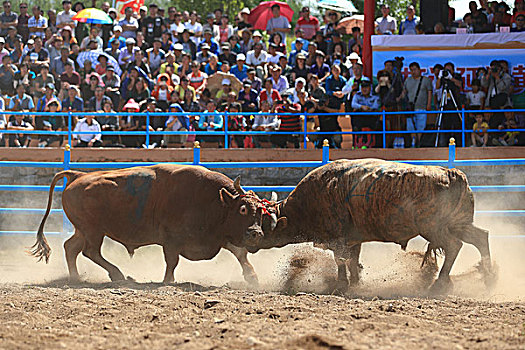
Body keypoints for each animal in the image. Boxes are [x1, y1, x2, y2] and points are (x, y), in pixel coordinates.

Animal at [32, 165, 270, 284]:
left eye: (260, 211)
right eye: (242, 209)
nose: (256, 233)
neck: (212, 199)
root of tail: (77, 176)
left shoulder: (220, 235)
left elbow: (239, 253)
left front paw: (253, 278)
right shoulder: (172, 240)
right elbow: (172, 261)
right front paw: (168, 281)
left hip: (83, 230)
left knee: (71, 248)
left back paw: (75, 277)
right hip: (93, 230)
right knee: (90, 251)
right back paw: (117, 275)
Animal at [252, 159, 494, 292]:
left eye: (261, 223)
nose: (250, 237)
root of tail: (451, 174)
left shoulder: (337, 238)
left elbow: (341, 260)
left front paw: (341, 285)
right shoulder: (353, 238)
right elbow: (352, 260)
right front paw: (356, 283)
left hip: (434, 227)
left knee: (454, 246)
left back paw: (441, 284)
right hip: (459, 223)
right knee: (481, 237)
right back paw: (489, 276)